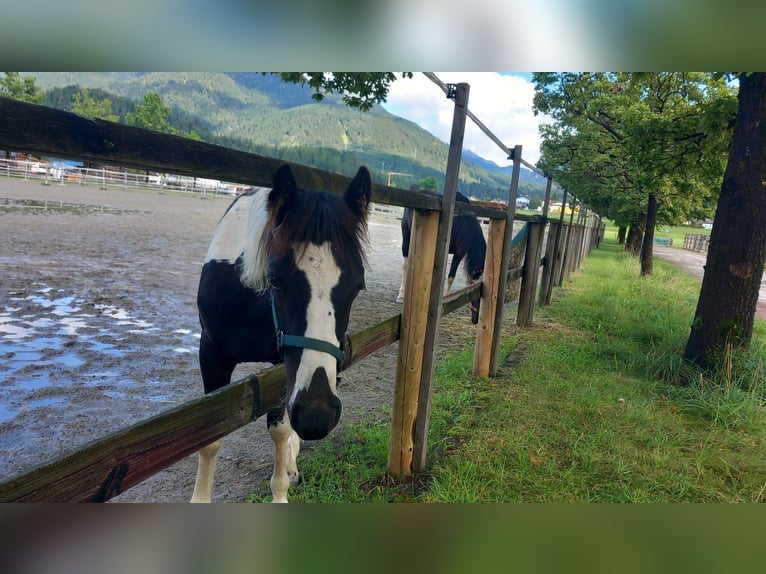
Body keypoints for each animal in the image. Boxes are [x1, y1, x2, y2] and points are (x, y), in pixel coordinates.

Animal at [192, 163, 372, 504]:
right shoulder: (211, 352)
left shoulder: (281, 366)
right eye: (275, 280)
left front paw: (281, 490)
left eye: (358, 286)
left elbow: (280, 429)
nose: (317, 415)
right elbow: (210, 438)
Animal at [396, 192, 486, 324]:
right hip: (406, 237)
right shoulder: (455, 252)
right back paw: (401, 295)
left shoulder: (456, 253)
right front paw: (445, 297)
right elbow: (450, 276)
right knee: (405, 266)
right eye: (478, 297)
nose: (475, 320)